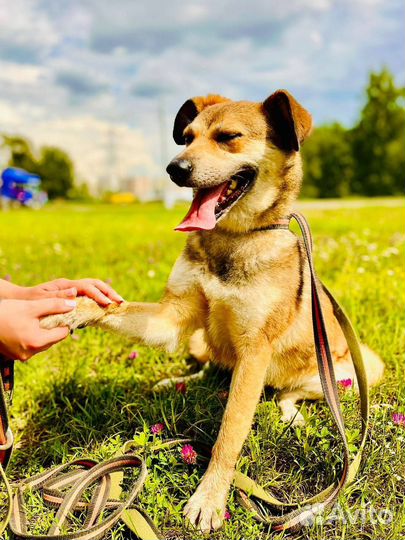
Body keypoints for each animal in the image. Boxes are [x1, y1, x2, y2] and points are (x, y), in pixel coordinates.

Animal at [41, 90, 386, 532]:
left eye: (229, 137)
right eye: (187, 137)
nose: (174, 169)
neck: (232, 237)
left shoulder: (255, 353)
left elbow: (229, 433)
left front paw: (209, 497)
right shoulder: (173, 317)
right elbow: (113, 306)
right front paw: (72, 308)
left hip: (357, 371)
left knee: (286, 393)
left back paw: (291, 414)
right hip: (203, 341)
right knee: (208, 366)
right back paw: (176, 382)